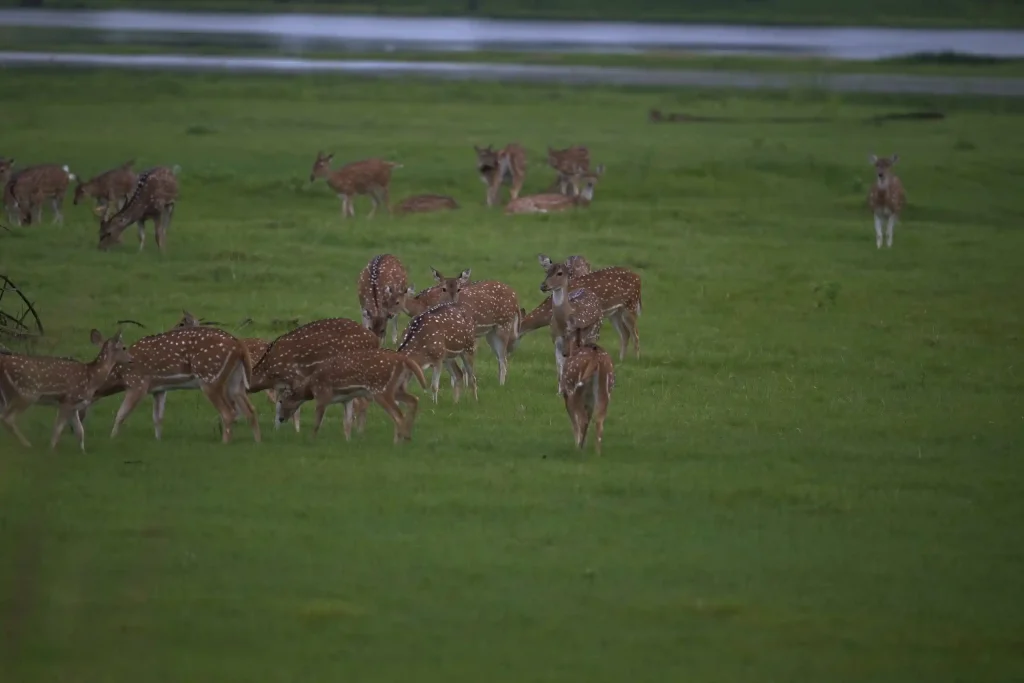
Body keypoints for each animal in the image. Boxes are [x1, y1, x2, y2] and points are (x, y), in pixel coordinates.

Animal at [0, 328, 130, 451]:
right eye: (124, 347)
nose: (131, 358)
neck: (91, 378)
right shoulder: (67, 400)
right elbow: (58, 429)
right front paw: (51, 451)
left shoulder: (75, 406)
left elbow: (80, 431)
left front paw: (83, 452)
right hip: (26, 393)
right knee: (8, 418)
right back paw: (27, 445)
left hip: (8, 395)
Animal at [274, 348, 428, 444]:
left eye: (281, 400)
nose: (281, 418)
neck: (311, 387)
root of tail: (403, 359)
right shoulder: (347, 399)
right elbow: (347, 423)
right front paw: (348, 441)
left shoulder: (323, 395)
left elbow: (317, 422)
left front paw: (311, 440)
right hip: (397, 388)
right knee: (413, 400)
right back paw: (407, 438)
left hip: (381, 389)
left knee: (398, 414)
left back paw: (399, 442)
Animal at [538, 255, 604, 388]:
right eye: (547, 271)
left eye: (559, 273)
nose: (543, 286)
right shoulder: (556, 342)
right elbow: (560, 368)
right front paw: (560, 390)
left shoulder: (574, 341)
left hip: (593, 334)